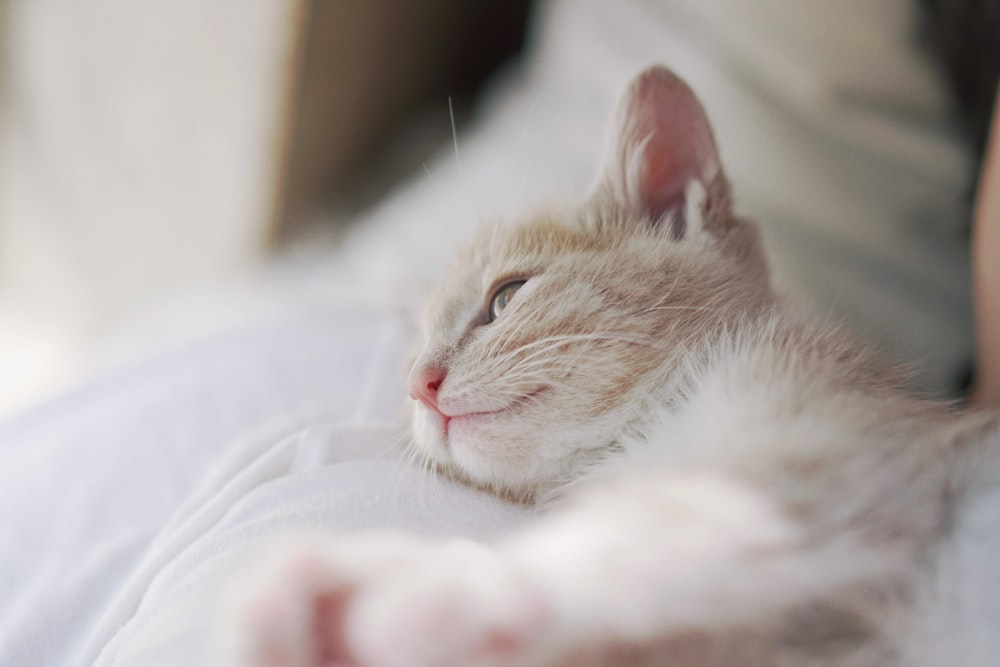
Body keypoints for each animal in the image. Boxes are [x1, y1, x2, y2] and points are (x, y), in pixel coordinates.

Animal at [225, 66, 1000, 667]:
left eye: (505, 297)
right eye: (413, 355)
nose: (421, 383)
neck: (640, 437)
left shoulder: (830, 444)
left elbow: (673, 522)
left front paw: (439, 588)